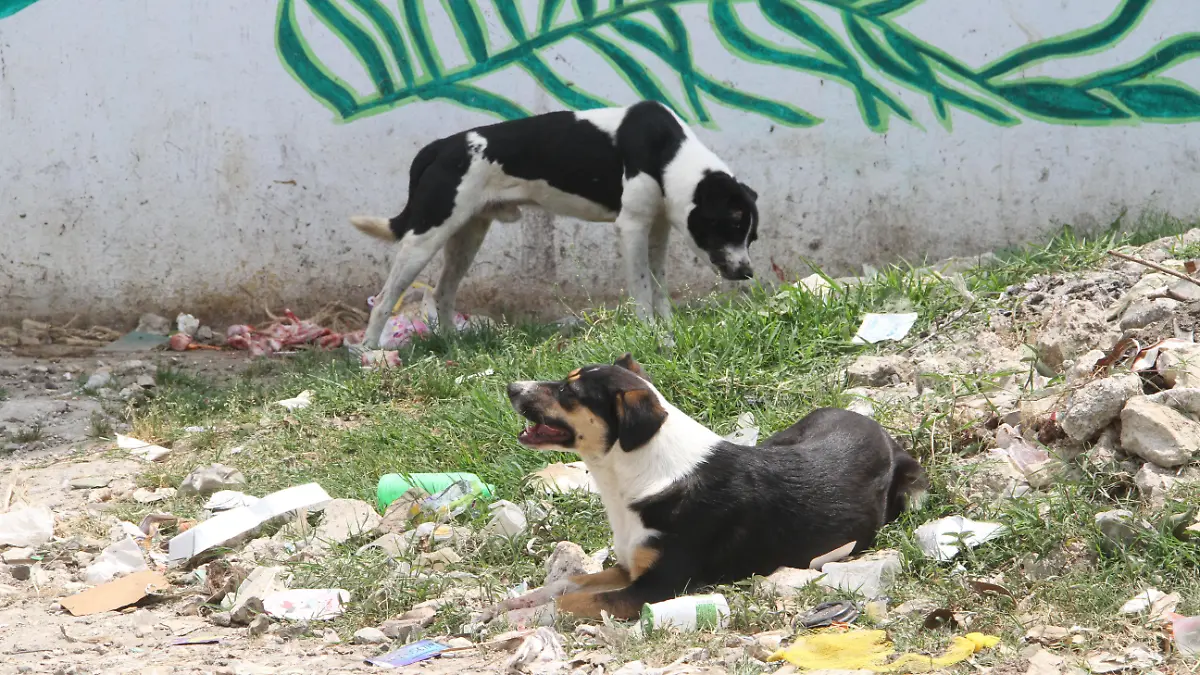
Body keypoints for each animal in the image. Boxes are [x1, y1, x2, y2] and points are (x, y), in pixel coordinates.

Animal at [350, 103, 758, 353]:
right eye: (732, 225)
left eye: (751, 236)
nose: (747, 272)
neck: (668, 153)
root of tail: (439, 148)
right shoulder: (632, 228)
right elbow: (643, 292)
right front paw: (650, 334)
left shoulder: (658, 230)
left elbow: (659, 289)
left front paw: (668, 331)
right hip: (426, 236)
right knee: (384, 298)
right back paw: (369, 353)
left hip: (468, 234)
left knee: (442, 292)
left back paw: (453, 343)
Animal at [487, 355, 926, 619]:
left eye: (568, 392)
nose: (511, 388)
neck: (634, 474)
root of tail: (873, 425)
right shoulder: (629, 568)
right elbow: (567, 584)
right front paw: (514, 603)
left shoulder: (654, 588)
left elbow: (573, 600)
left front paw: (524, 617)